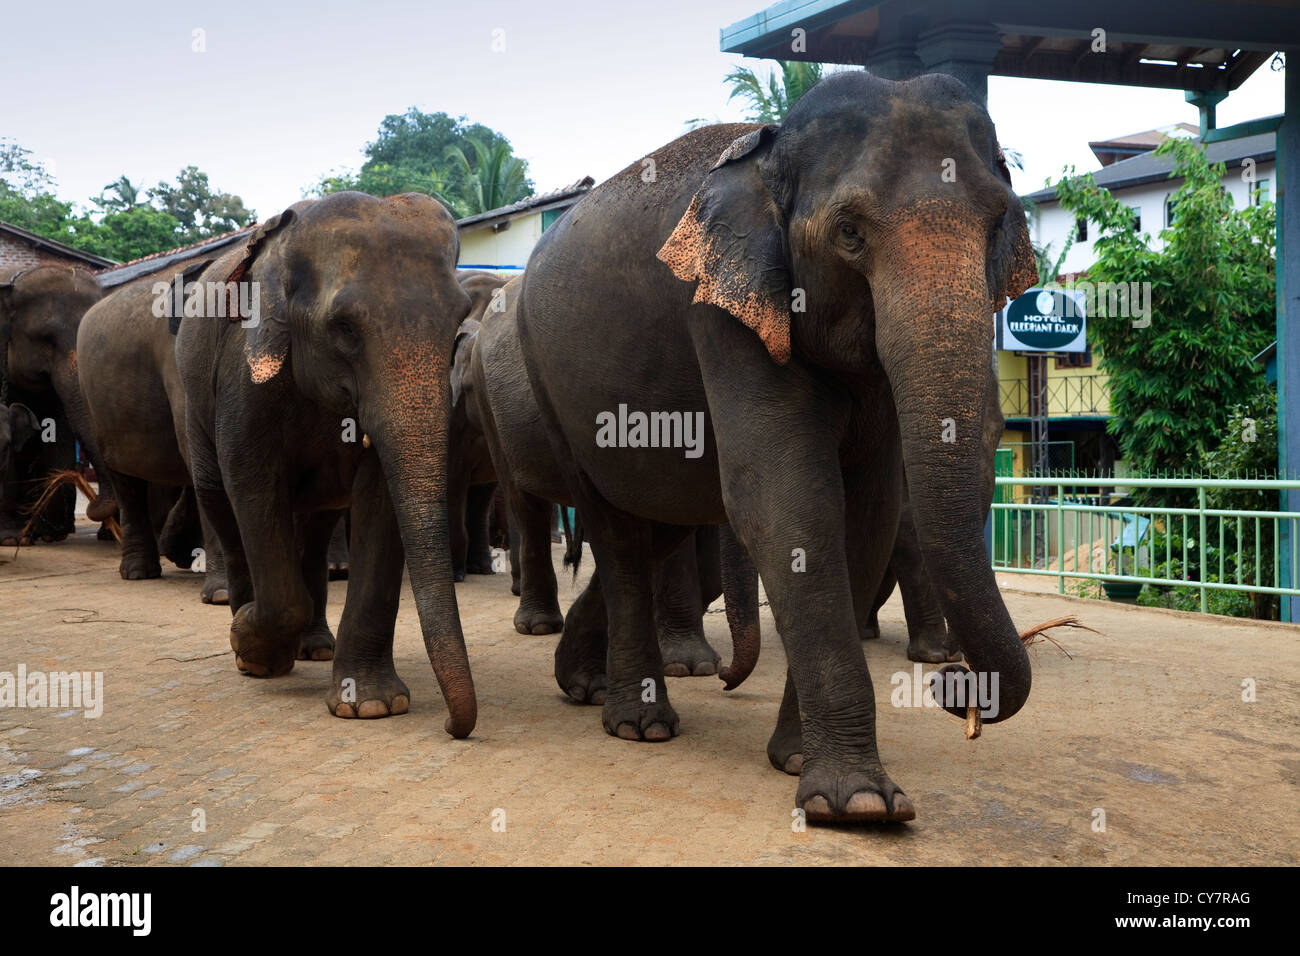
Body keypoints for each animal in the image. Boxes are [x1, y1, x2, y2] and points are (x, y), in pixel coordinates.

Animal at [172, 191, 478, 738]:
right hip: (194, 401)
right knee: (221, 502)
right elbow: (252, 483)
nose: (452, 726)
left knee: (314, 527)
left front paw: (370, 706)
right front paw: (253, 649)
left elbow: (380, 499)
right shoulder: (243, 372)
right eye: (344, 328)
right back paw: (250, 639)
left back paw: (314, 648)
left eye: (457, 323)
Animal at [514, 70, 1034, 827]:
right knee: (616, 530)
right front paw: (860, 804)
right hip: (551, 389)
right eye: (849, 233)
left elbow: (868, 515)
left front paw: (796, 763)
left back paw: (582, 684)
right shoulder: (719, 309)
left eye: (998, 221)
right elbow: (786, 498)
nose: (952, 688)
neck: (774, 147)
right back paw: (640, 725)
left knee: (655, 529)